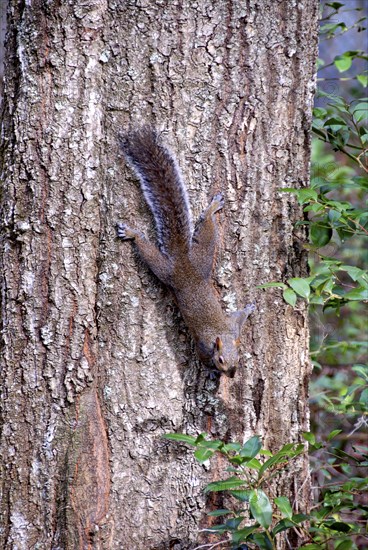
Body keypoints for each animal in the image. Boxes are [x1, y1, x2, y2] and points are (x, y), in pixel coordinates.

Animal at [116, 126, 254, 380]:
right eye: (221, 360)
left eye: (238, 358)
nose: (230, 375)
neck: (221, 335)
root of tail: (183, 262)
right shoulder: (203, 345)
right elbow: (203, 358)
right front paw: (210, 372)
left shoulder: (232, 328)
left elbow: (239, 318)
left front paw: (249, 309)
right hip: (166, 270)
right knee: (149, 251)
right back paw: (133, 234)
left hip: (202, 258)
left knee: (207, 230)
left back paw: (212, 209)